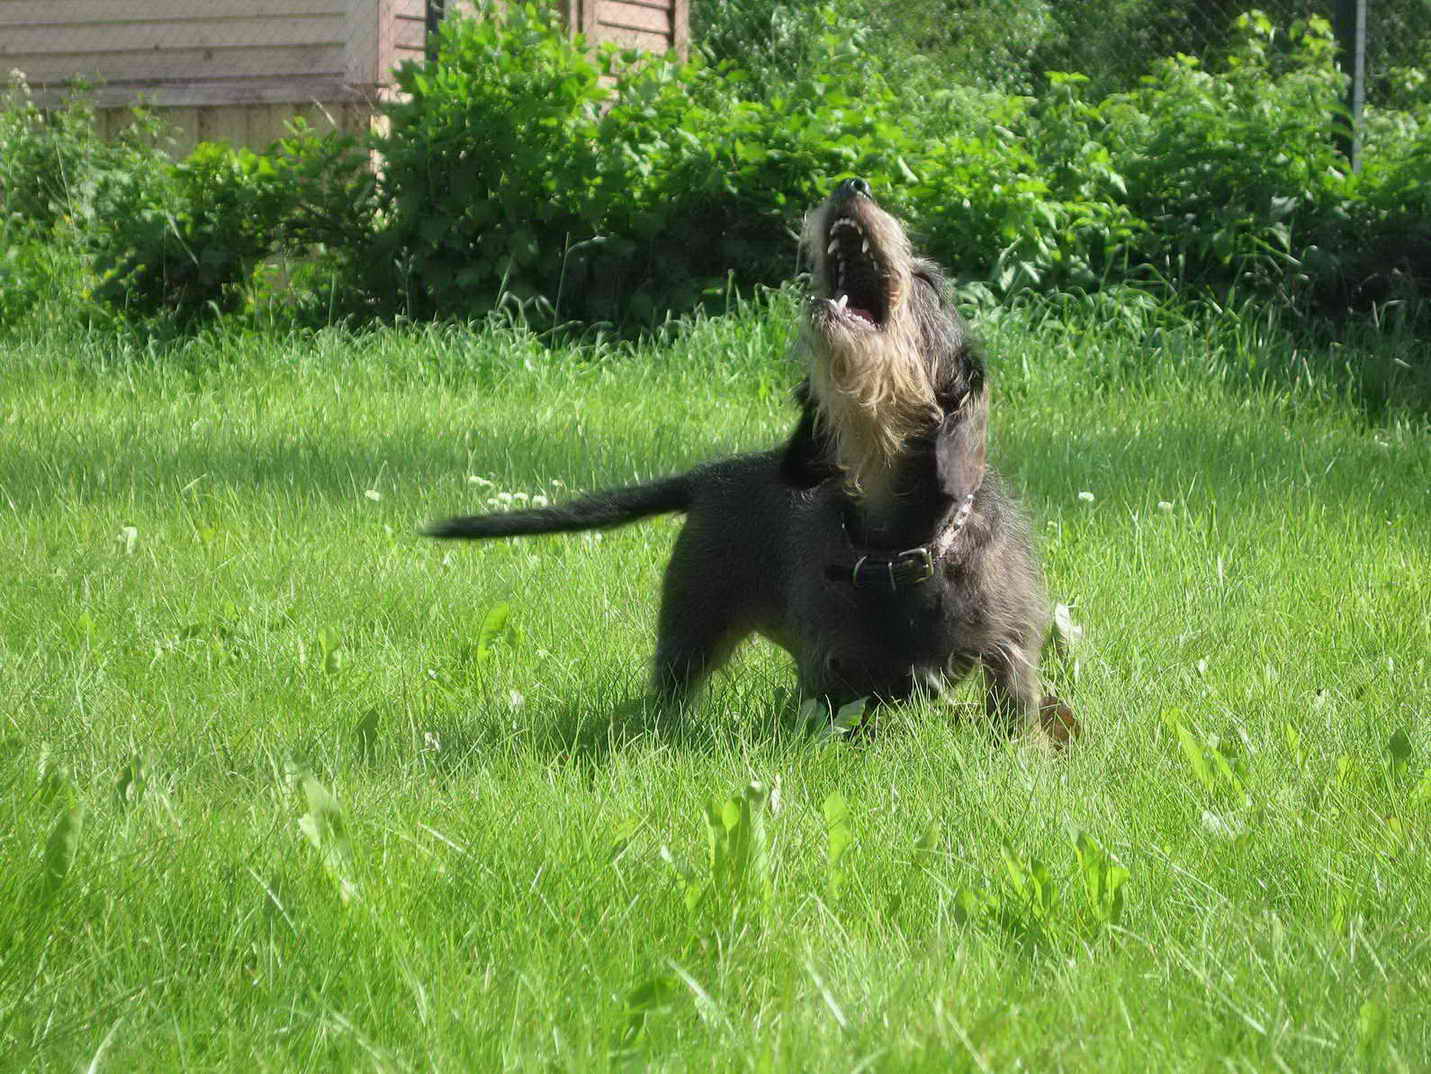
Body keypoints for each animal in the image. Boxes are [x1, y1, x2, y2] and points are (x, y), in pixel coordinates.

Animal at [420, 178, 1076, 749]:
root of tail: (712, 475)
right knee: (673, 688)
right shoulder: (828, 673)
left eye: (929, 282)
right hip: (691, 622)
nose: (853, 183)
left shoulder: (1011, 652)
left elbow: (1015, 713)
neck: (899, 546)